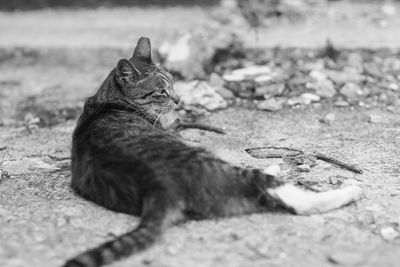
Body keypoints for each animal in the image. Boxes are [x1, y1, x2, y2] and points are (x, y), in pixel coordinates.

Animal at [65, 37, 362, 267]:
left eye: (172, 83)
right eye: (161, 91)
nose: (179, 99)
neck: (108, 102)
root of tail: (158, 187)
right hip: (224, 170)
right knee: (288, 196)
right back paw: (346, 190)